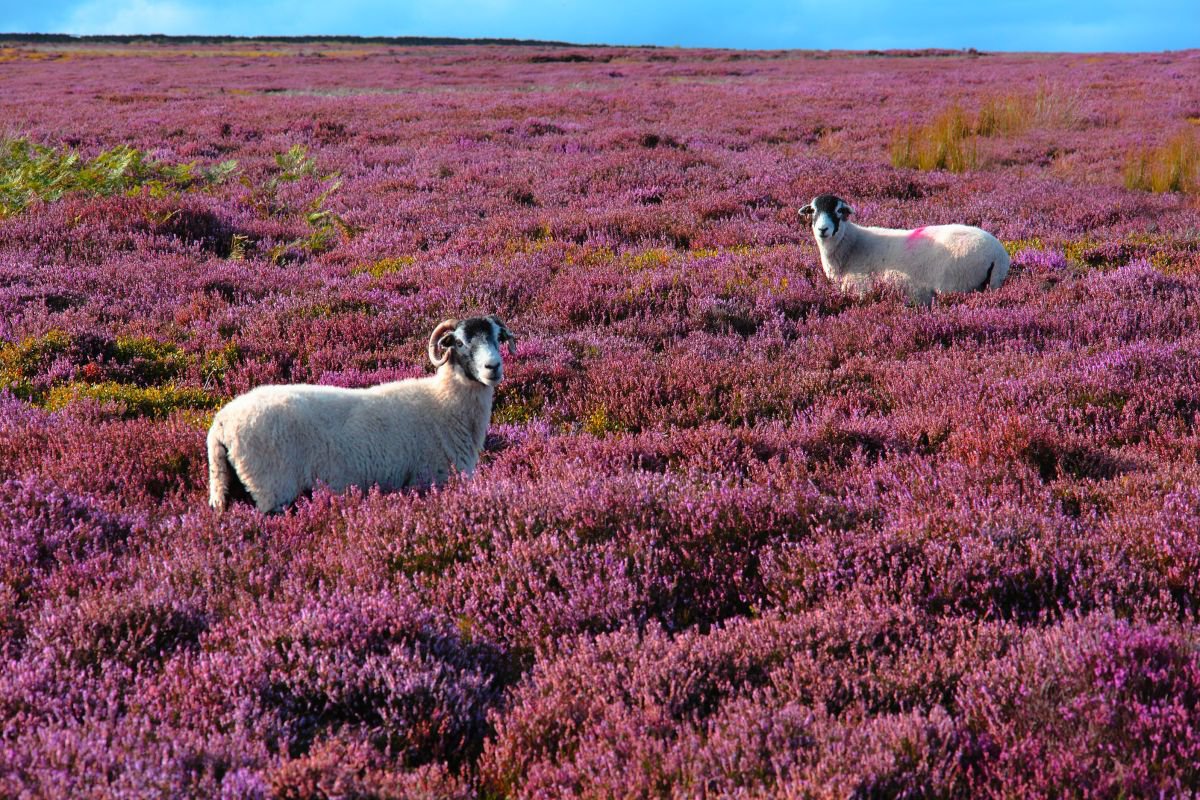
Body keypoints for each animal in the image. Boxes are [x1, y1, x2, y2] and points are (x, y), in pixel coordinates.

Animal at [207, 315, 517, 513]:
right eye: (460, 343)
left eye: (497, 338)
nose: (493, 367)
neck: (444, 403)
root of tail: (221, 425)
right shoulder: (429, 480)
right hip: (272, 489)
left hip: (229, 488)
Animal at [799, 194, 1010, 306]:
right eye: (813, 211)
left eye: (838, 211)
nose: (823, 229)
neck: (851, 245)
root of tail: (999, 254)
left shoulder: (861, 287)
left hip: (955, 282)